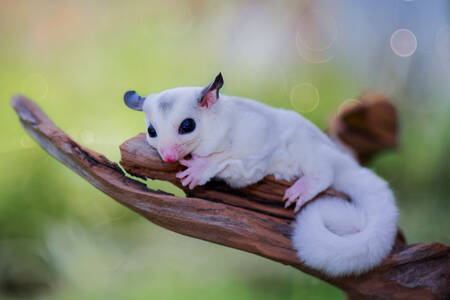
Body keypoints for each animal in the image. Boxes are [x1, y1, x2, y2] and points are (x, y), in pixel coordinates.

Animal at [123, 72, 398, 276]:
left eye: (187, 125)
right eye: (151, 131)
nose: (169, 156)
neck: (215, 129)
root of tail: (346, 162)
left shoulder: (256, 135)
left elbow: (236, 158)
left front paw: (200, 168)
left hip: (311, 150)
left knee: (324, 172)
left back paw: (305, 187)